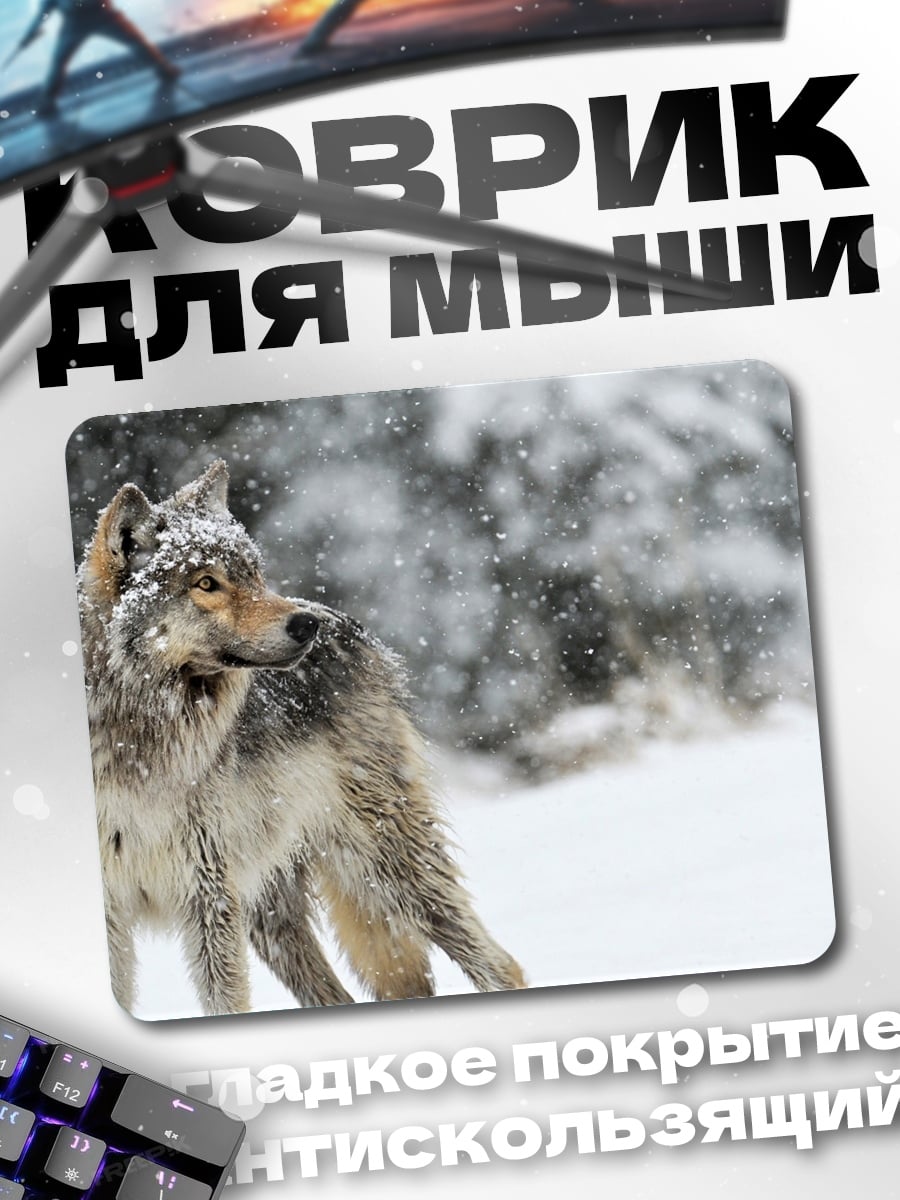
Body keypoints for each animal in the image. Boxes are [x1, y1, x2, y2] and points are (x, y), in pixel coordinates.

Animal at [77, 460, 524, 1015]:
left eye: (254, 573)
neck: (137, 736)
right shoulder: (127, 914)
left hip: (388, 866)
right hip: (271, 915)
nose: (304, 624)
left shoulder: (208, 898)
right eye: (206, 582)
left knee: (500, 964)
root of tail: (348, 625)